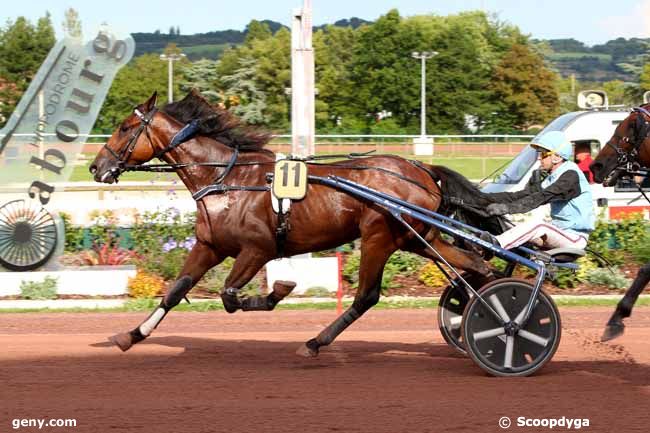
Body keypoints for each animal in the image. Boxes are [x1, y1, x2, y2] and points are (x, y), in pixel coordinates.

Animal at [91, 89, 494, 356]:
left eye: (125, 127)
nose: (97, 167)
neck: (225, 179)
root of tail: (422, 169)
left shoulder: (258, 249)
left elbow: (230, 296)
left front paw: (278, 290)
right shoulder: (210, 246)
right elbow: (175, 291)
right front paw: (132, 335)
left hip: (378, 237)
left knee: (366, 296)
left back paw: (315, 342)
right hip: (417, 238)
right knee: (476, 266)